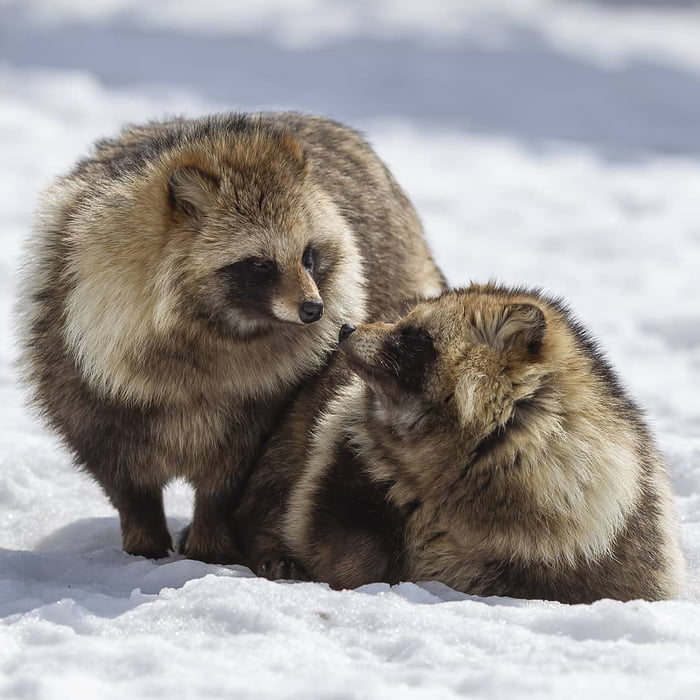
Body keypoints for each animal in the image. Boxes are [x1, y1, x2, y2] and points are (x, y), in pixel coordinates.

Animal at [19, 115, 446, 564]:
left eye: (308, 256)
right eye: (259, 264)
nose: (314, 309)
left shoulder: (260, 403)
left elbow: (227, 480)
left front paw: (210, 542)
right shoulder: (80, 371)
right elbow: (125, 481)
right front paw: (144, 539)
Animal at [238, 284, 688, 600]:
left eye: (415, 338)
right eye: (404, 322)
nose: (348, 328)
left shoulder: (595, 534)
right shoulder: (348, 456)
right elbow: (335, 523)